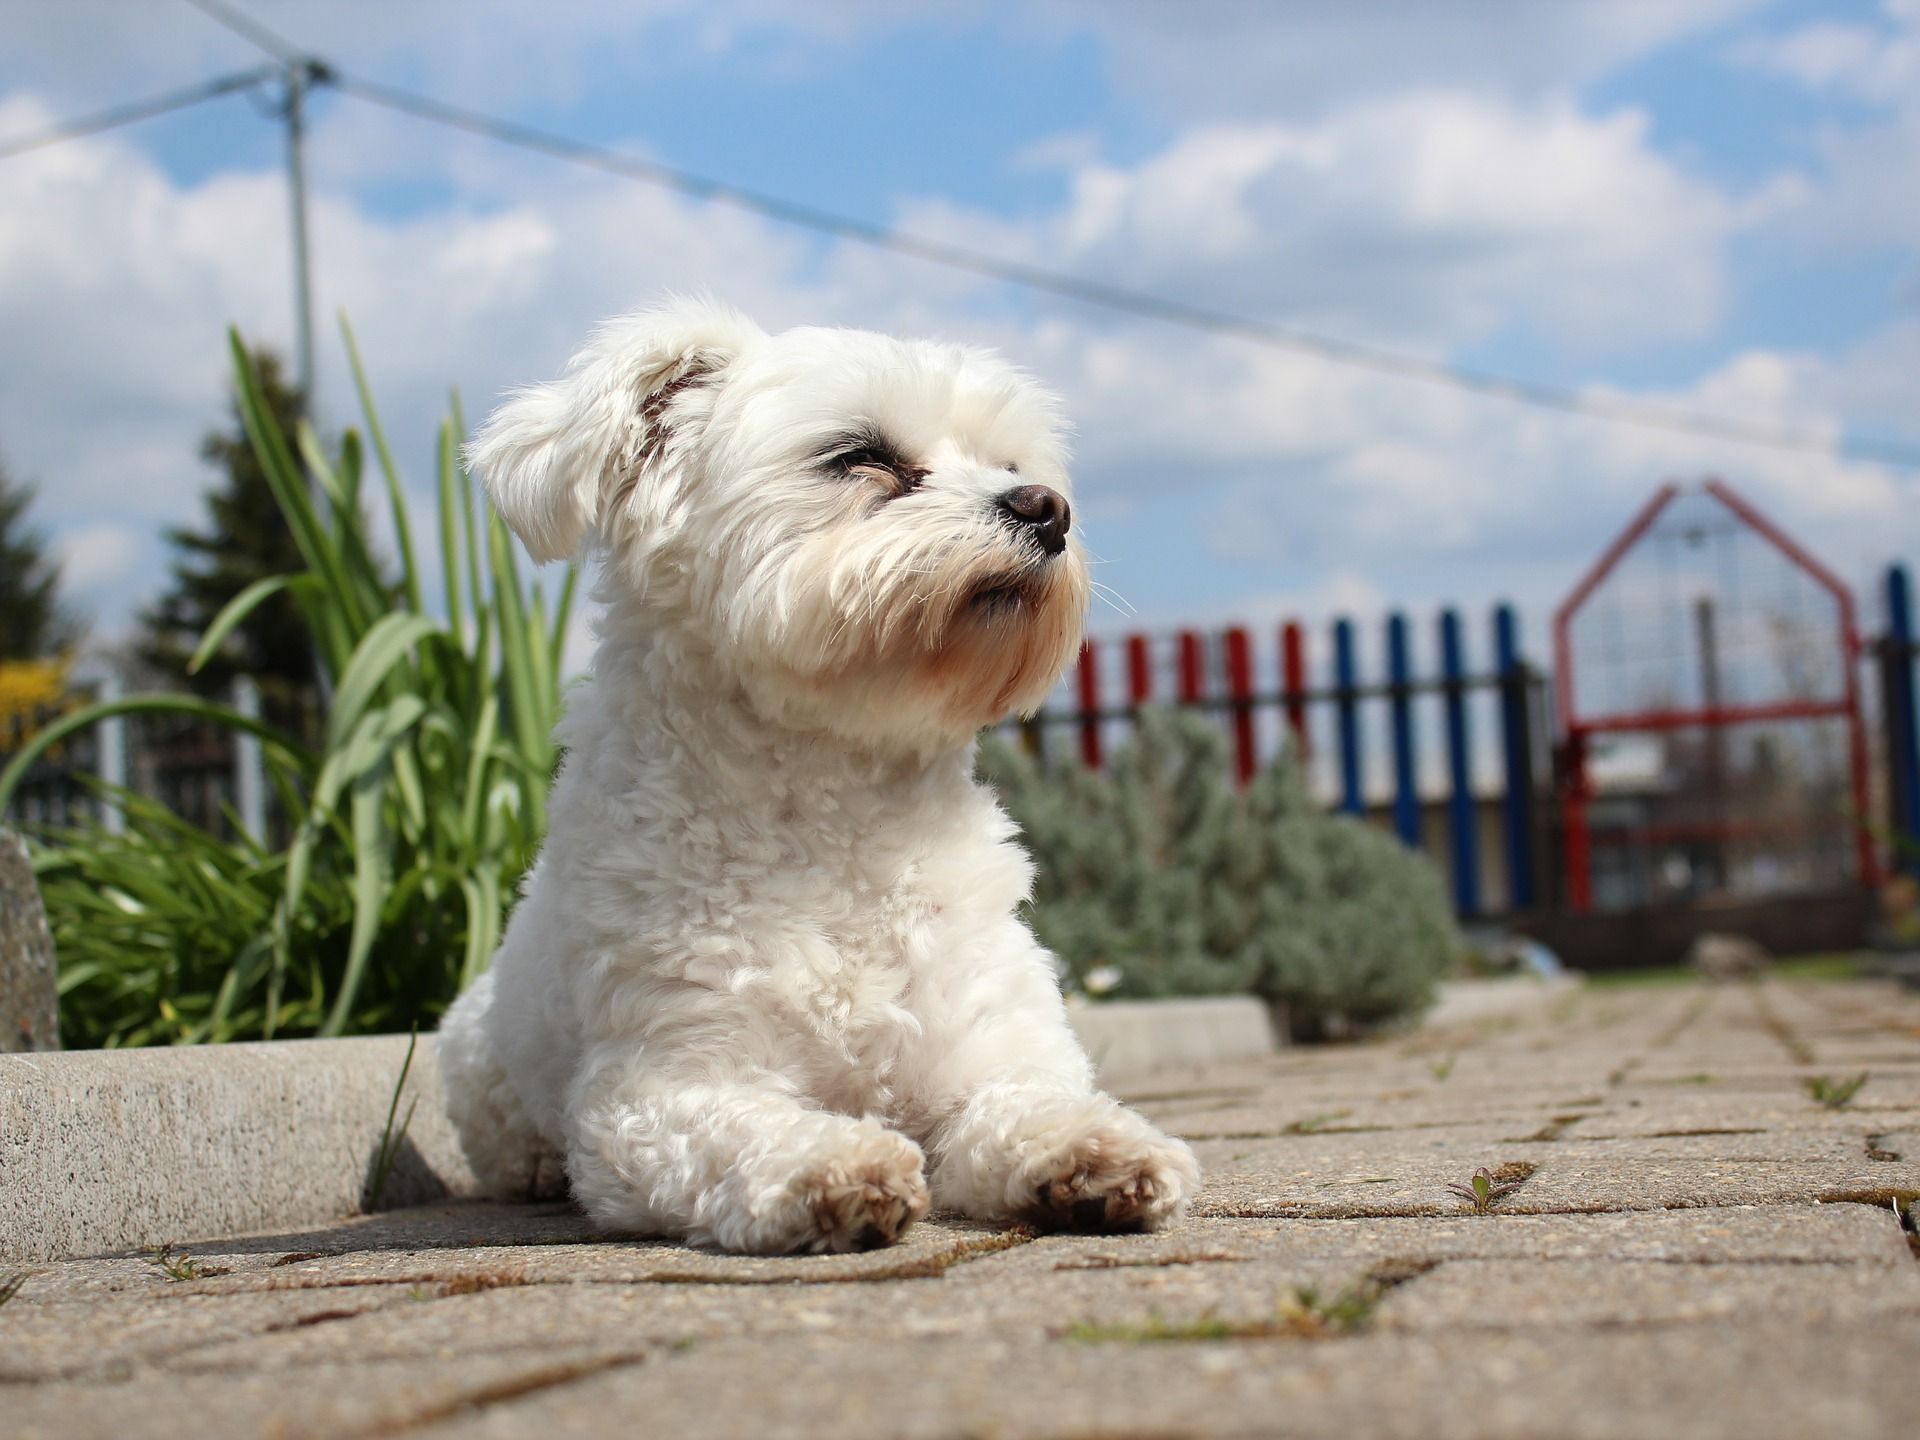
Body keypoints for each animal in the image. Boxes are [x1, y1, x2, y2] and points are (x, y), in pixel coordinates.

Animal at [439, 301, 1198, 1251]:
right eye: (859, 456)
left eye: (1013, 466)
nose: (1047, 508)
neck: (842, 815)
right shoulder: (660, 1087)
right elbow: (744, 1128)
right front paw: (832, 1163)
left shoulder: (986, 1040)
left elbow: (1024, 1102)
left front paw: (1092, 1148)